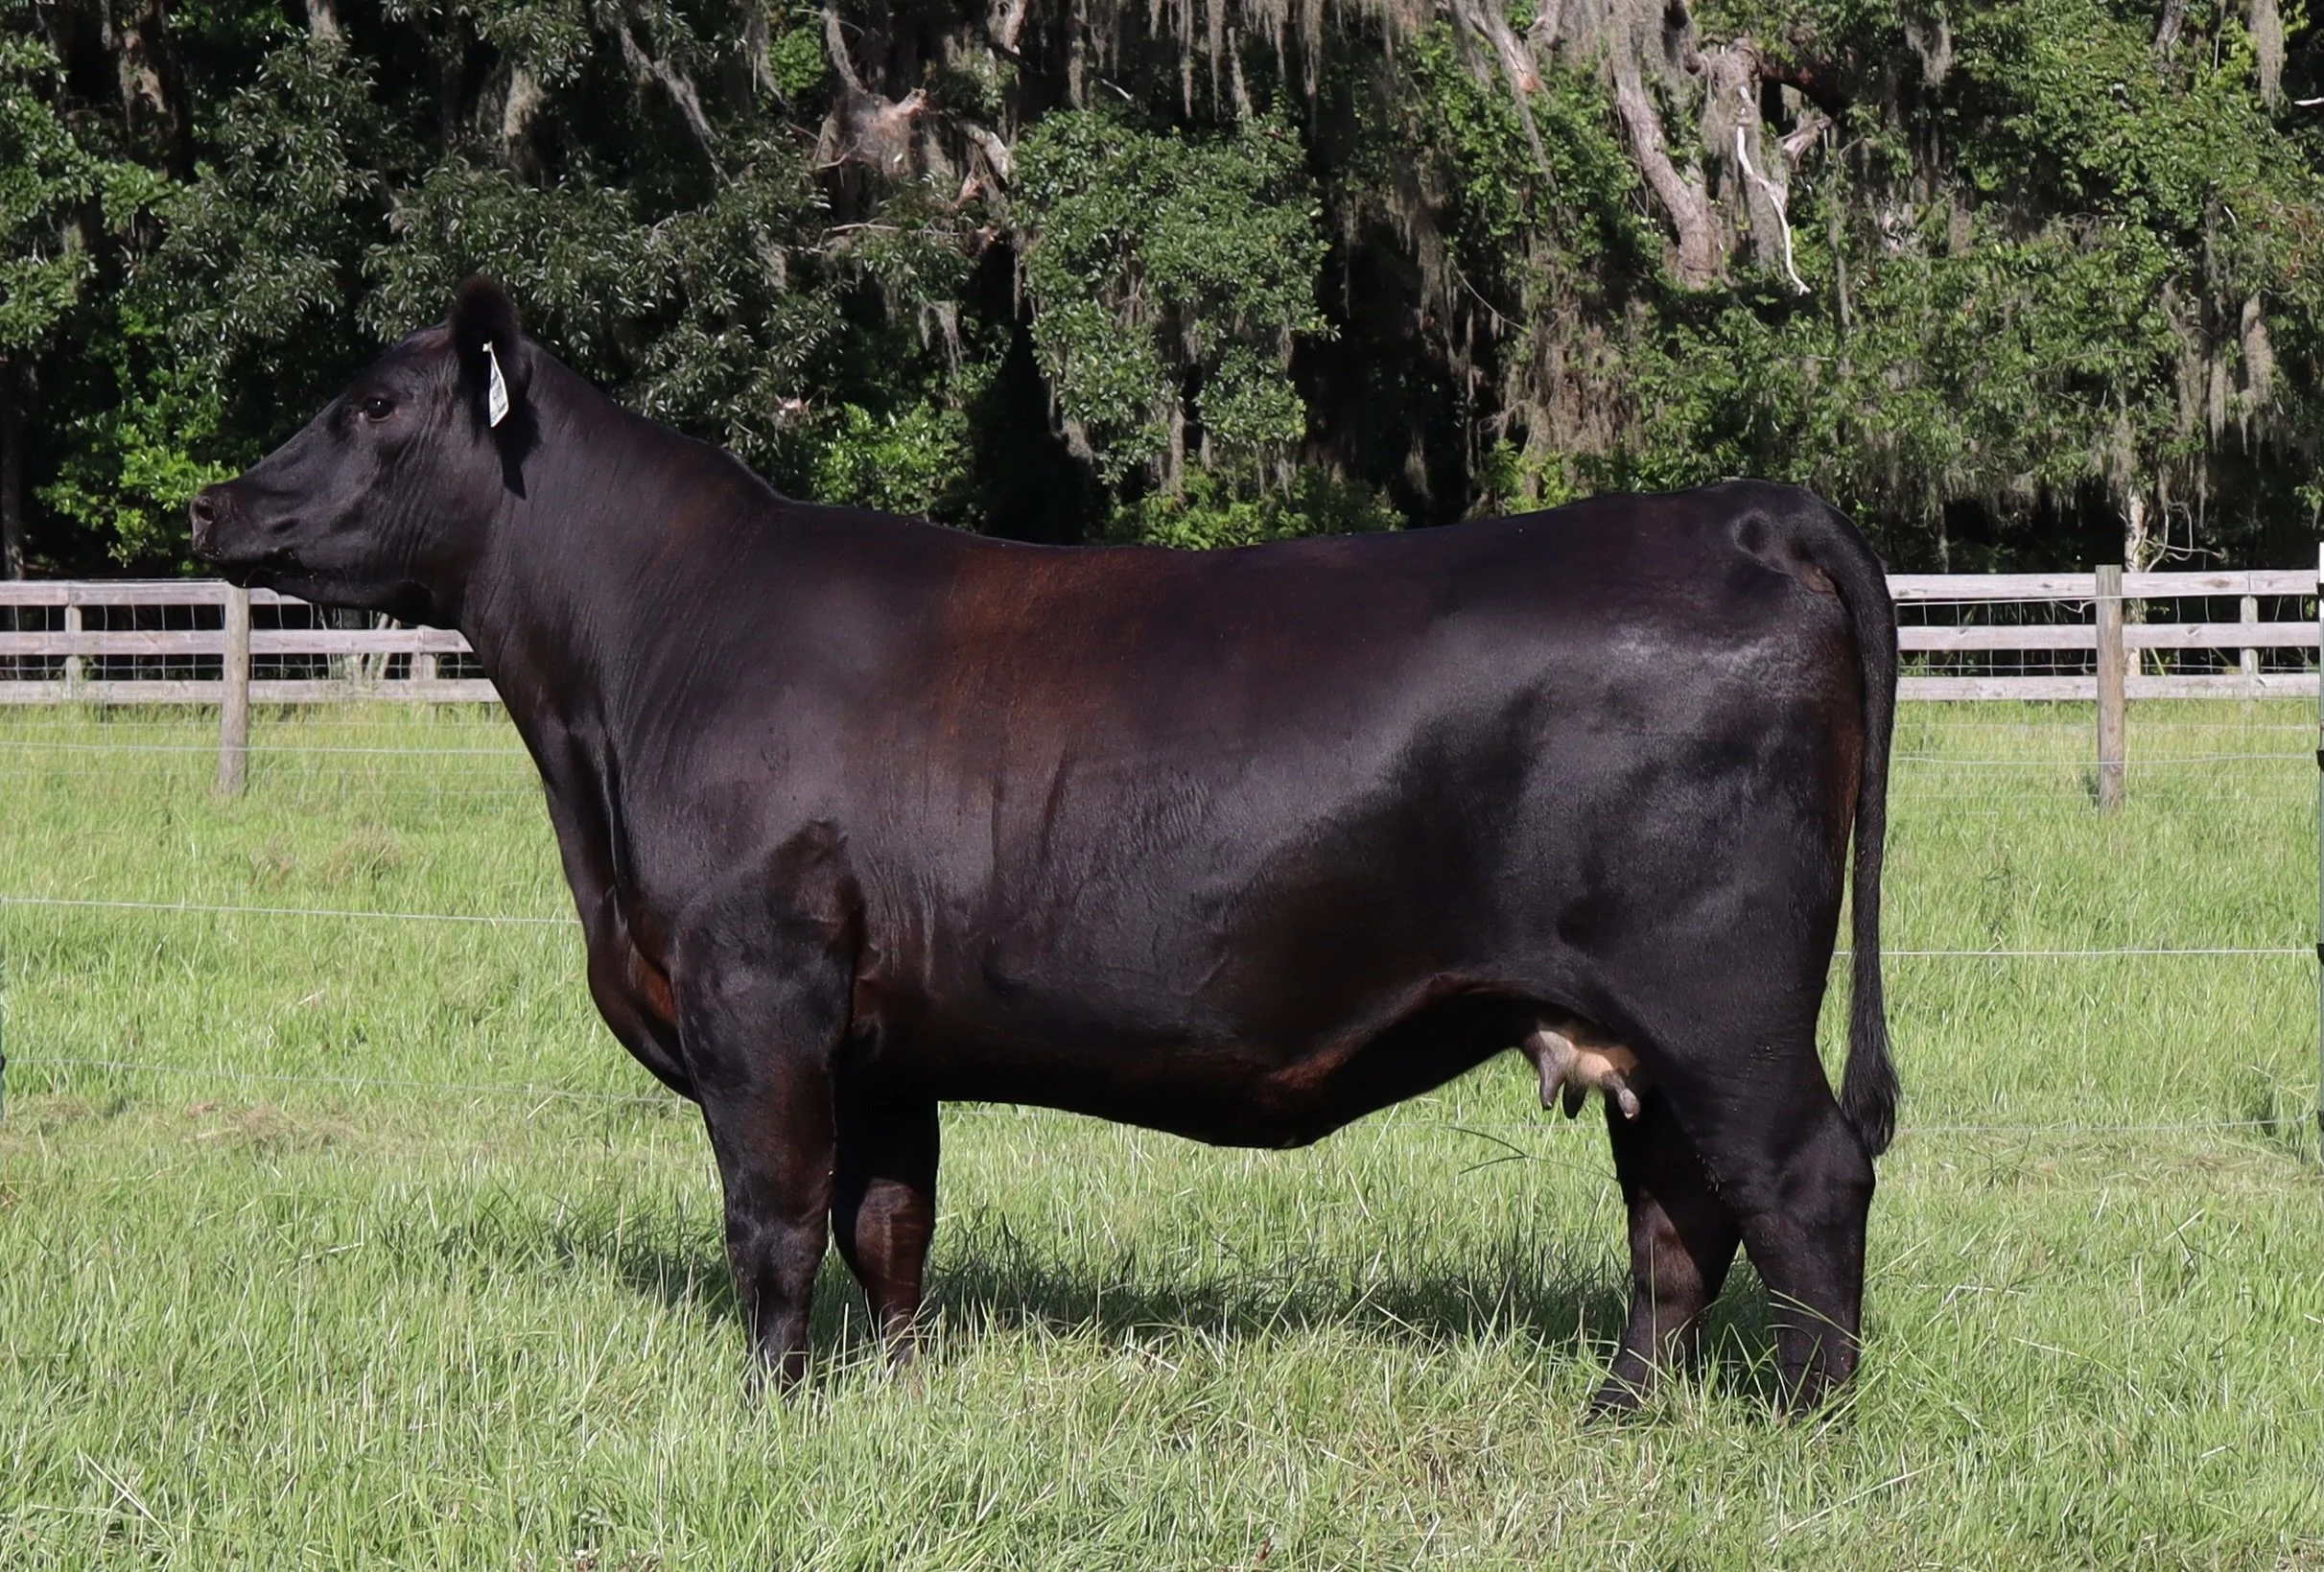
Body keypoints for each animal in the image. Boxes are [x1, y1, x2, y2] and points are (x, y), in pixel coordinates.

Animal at [191, 279, 1899, 1414]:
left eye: (373, 407)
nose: (213, 502)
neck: (619, 698)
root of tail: (1745, 512)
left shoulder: (757, 991)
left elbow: (771, 1219)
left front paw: (765, 1412)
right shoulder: (881, 1039)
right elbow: (886, 1226)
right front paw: (885, 1399)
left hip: (1719, 995)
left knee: (1798, 1179)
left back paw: (1801, 1429)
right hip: (1640, 1024)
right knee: (1676, 1212)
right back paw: (1620, 1414)